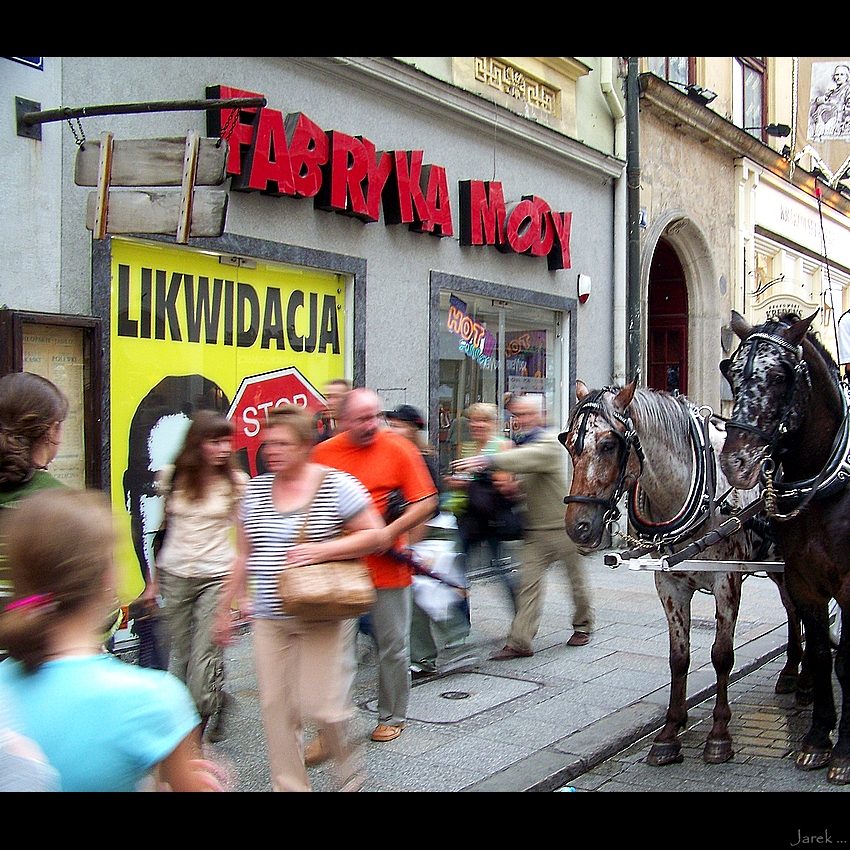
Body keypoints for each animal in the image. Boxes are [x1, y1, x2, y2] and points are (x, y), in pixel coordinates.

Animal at [556, 376, 808, 760]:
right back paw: (792, 672)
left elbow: (721, 655)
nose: (578, 527)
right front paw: (670, 731)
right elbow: (679, 657)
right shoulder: (669, 585)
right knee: (794, 611)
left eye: (609, 445)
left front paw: (719, 733)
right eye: (570, 444)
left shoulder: (727, 581)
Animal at [720, 310, 848, 780]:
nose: (735, 463)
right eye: (731, 372)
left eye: (780, 375)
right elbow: (821, 648)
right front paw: (817, 738)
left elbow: (845, 658)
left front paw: (843, 753)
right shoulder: (805, 578)